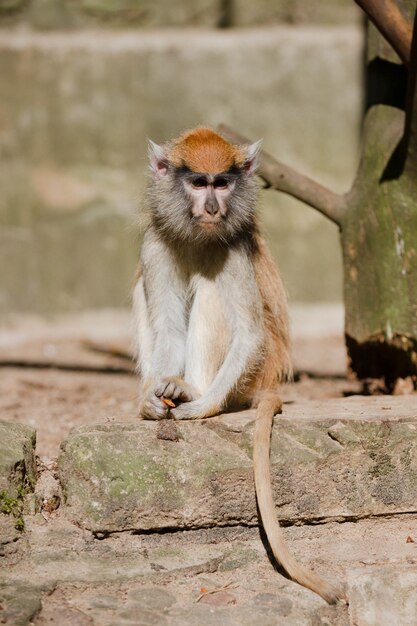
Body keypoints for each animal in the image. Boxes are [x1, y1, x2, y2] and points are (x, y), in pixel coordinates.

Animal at [132, 128, 342, 604]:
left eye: (222, 183)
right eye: (198, 183)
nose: (213, 207)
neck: (198, 236)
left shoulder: (234, 251)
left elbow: (250, 333)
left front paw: (201, 405)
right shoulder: (154, 243)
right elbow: (167, 323)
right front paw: (153, 401)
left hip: (255, 373)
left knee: (211, 291)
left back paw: (193, 390)